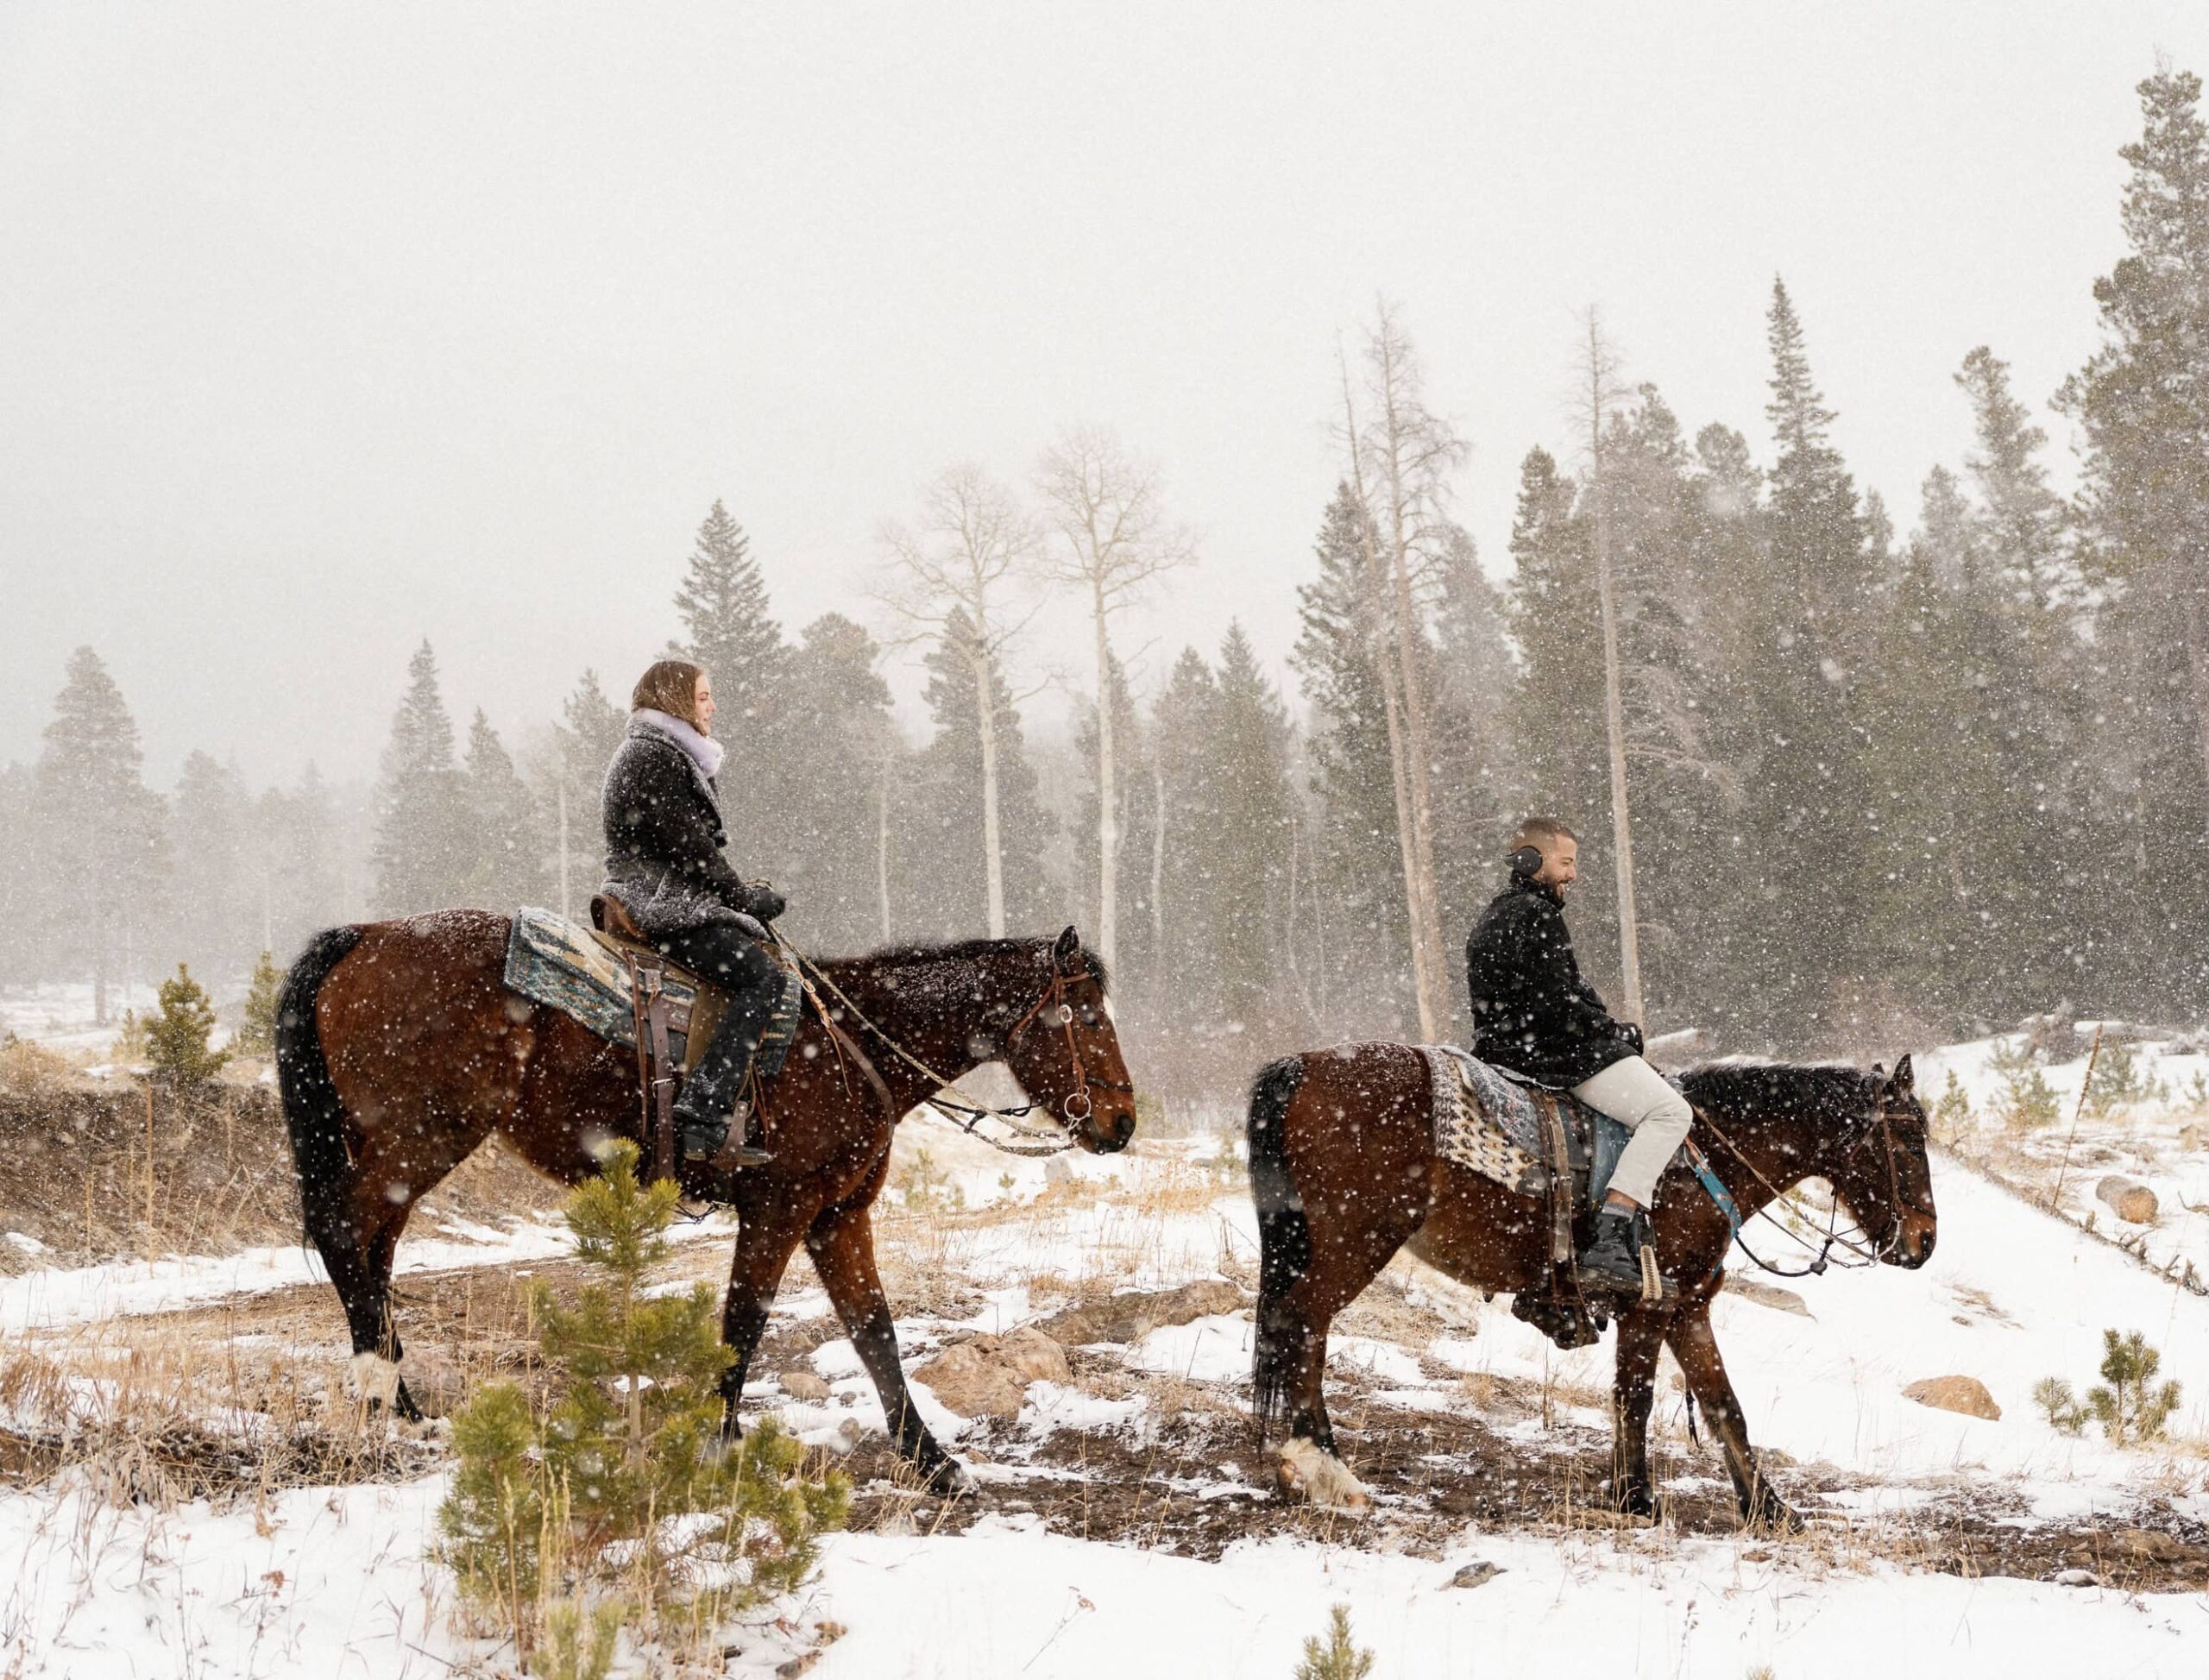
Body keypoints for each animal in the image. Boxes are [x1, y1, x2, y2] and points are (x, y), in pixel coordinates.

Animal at [276, 909, 1130, 1483]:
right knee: (349, 1238)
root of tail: (366, 935)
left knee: (372, 1253)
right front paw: (719, 1441)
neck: (845, 1045)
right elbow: (743, 1322)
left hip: (401, 1151)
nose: (1122, 1122)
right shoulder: (779, 1209)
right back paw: (386, 1397)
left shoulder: (836, 1217)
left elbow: (875, 1331)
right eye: (1086, 1014)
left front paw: (932, 1460)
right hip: (415, 1142)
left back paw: (401, 1405)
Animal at [1255, 1050, 1943, 1519]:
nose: (1925, 1241)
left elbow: (1724, 1406)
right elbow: (1634, 1398)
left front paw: (1769, 1510)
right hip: (1353, 1245)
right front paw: (1636, 1498)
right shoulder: (1651, 1306)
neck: (1702, 1158)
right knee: (1302, 1326)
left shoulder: (1689, 1307)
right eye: (1910, 1140)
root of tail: (1302, 1066)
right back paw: (1324, 1467)